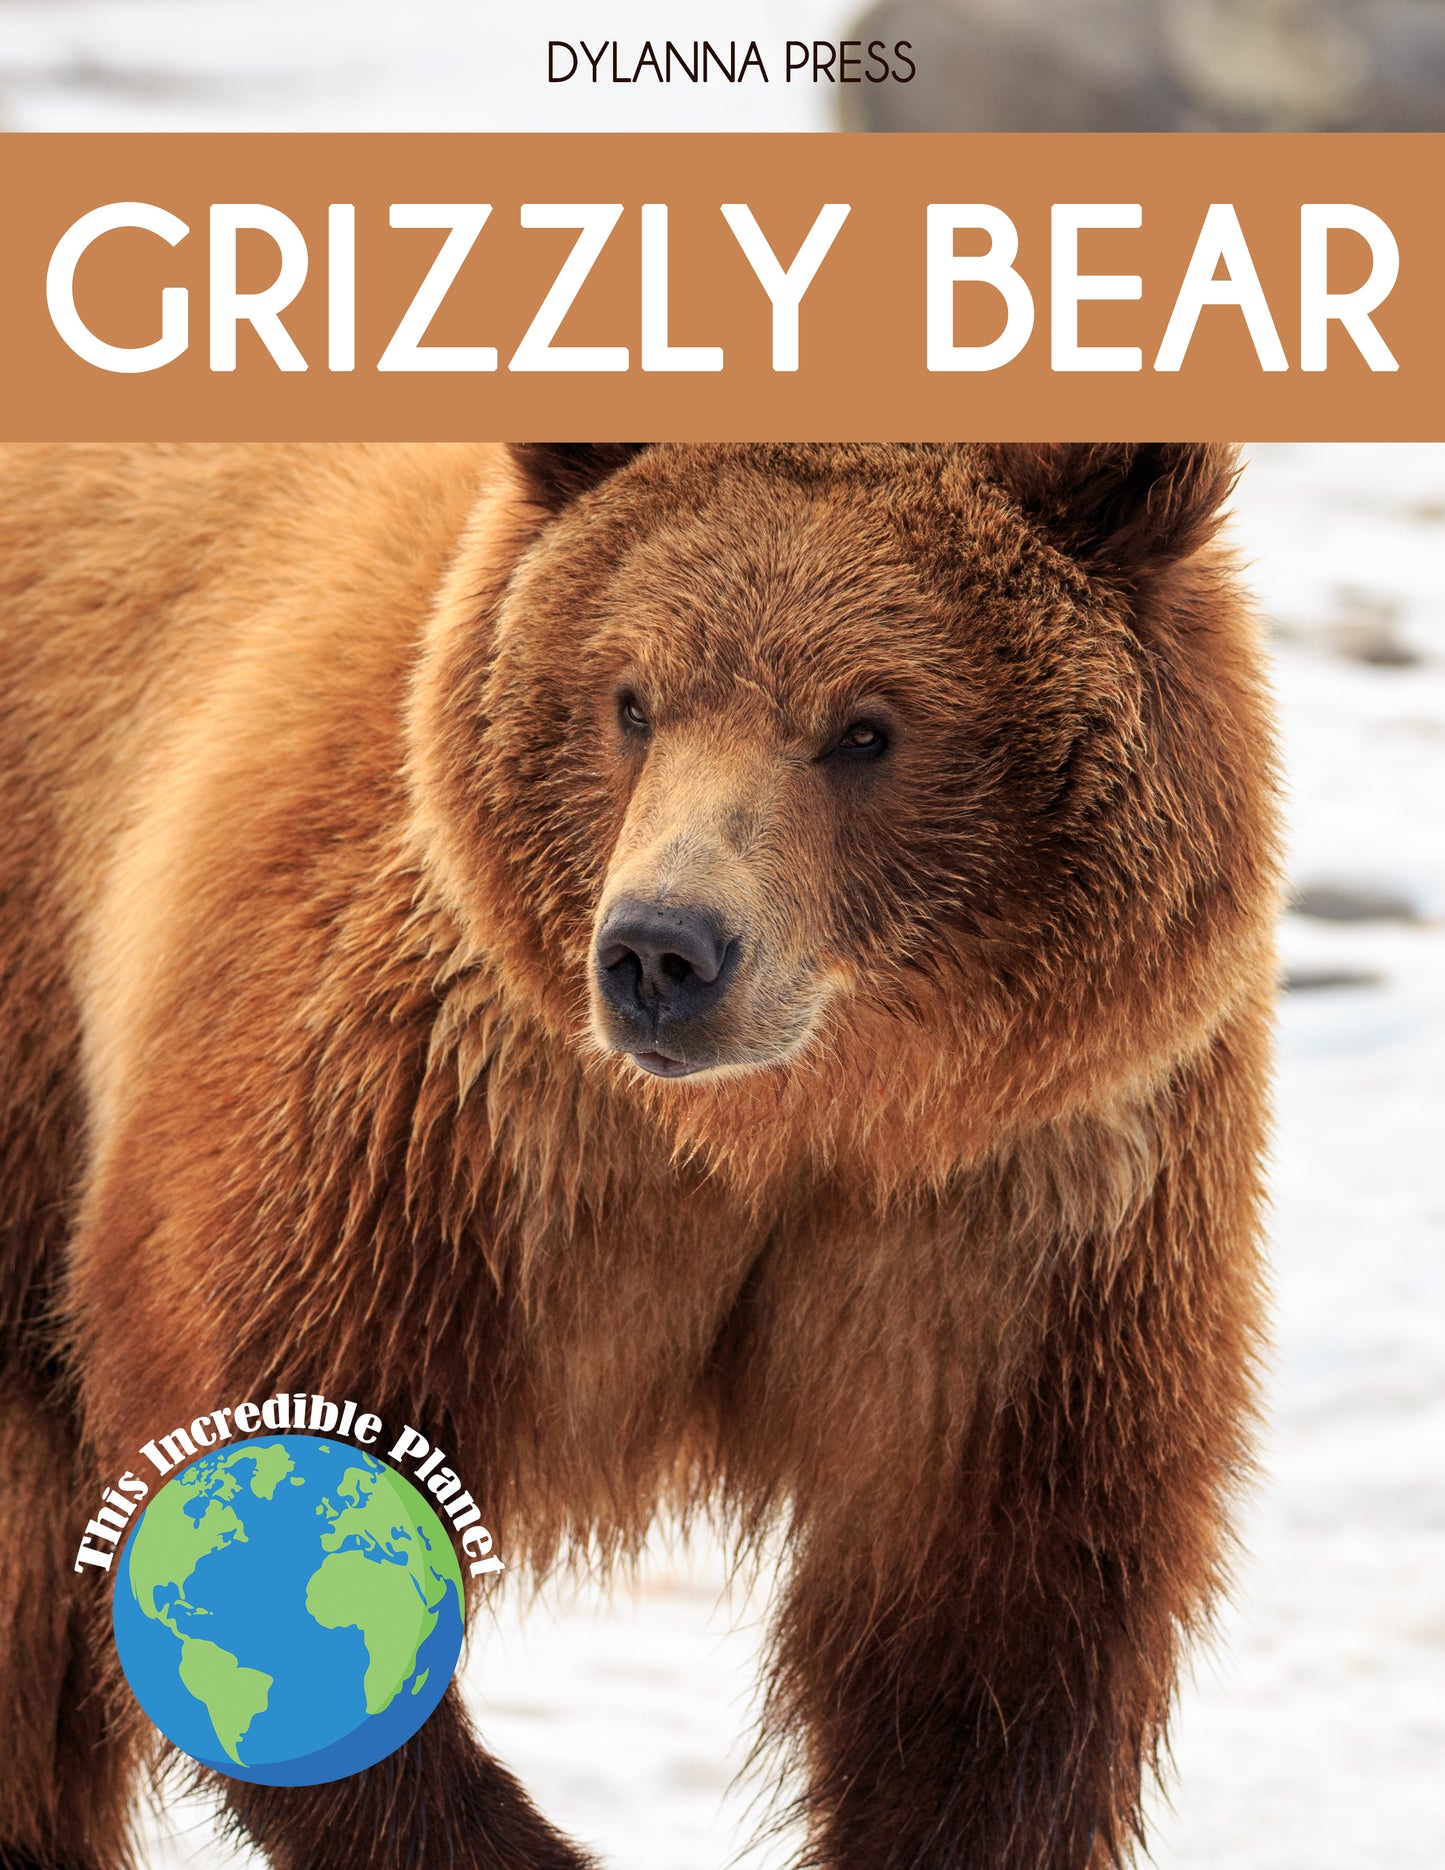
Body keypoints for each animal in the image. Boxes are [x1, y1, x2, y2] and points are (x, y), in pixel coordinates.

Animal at [0, 440, 1277, 1870]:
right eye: (632, 698)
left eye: (867, 725)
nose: (663, 952)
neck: (771, 1129)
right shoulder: (439, 1136)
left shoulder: (1022, 1218)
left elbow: (989, 1624)